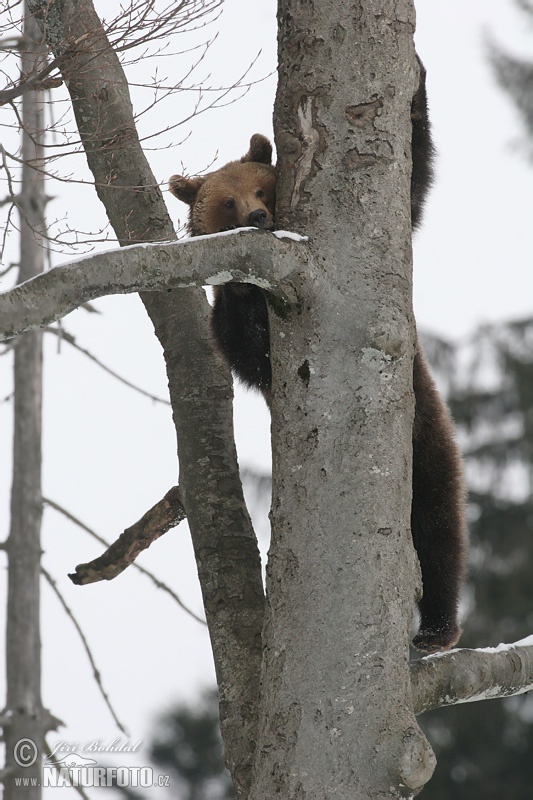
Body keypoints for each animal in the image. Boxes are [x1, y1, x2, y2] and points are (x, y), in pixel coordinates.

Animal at [169, 65, 466, 652]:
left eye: (262, 186)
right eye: (227, 202)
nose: (259, 214)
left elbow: (413, 184)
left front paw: (416, 83)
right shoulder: (238, 327)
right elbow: (244, 348)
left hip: (425, 431)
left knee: (440, 526)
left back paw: (436, 627)